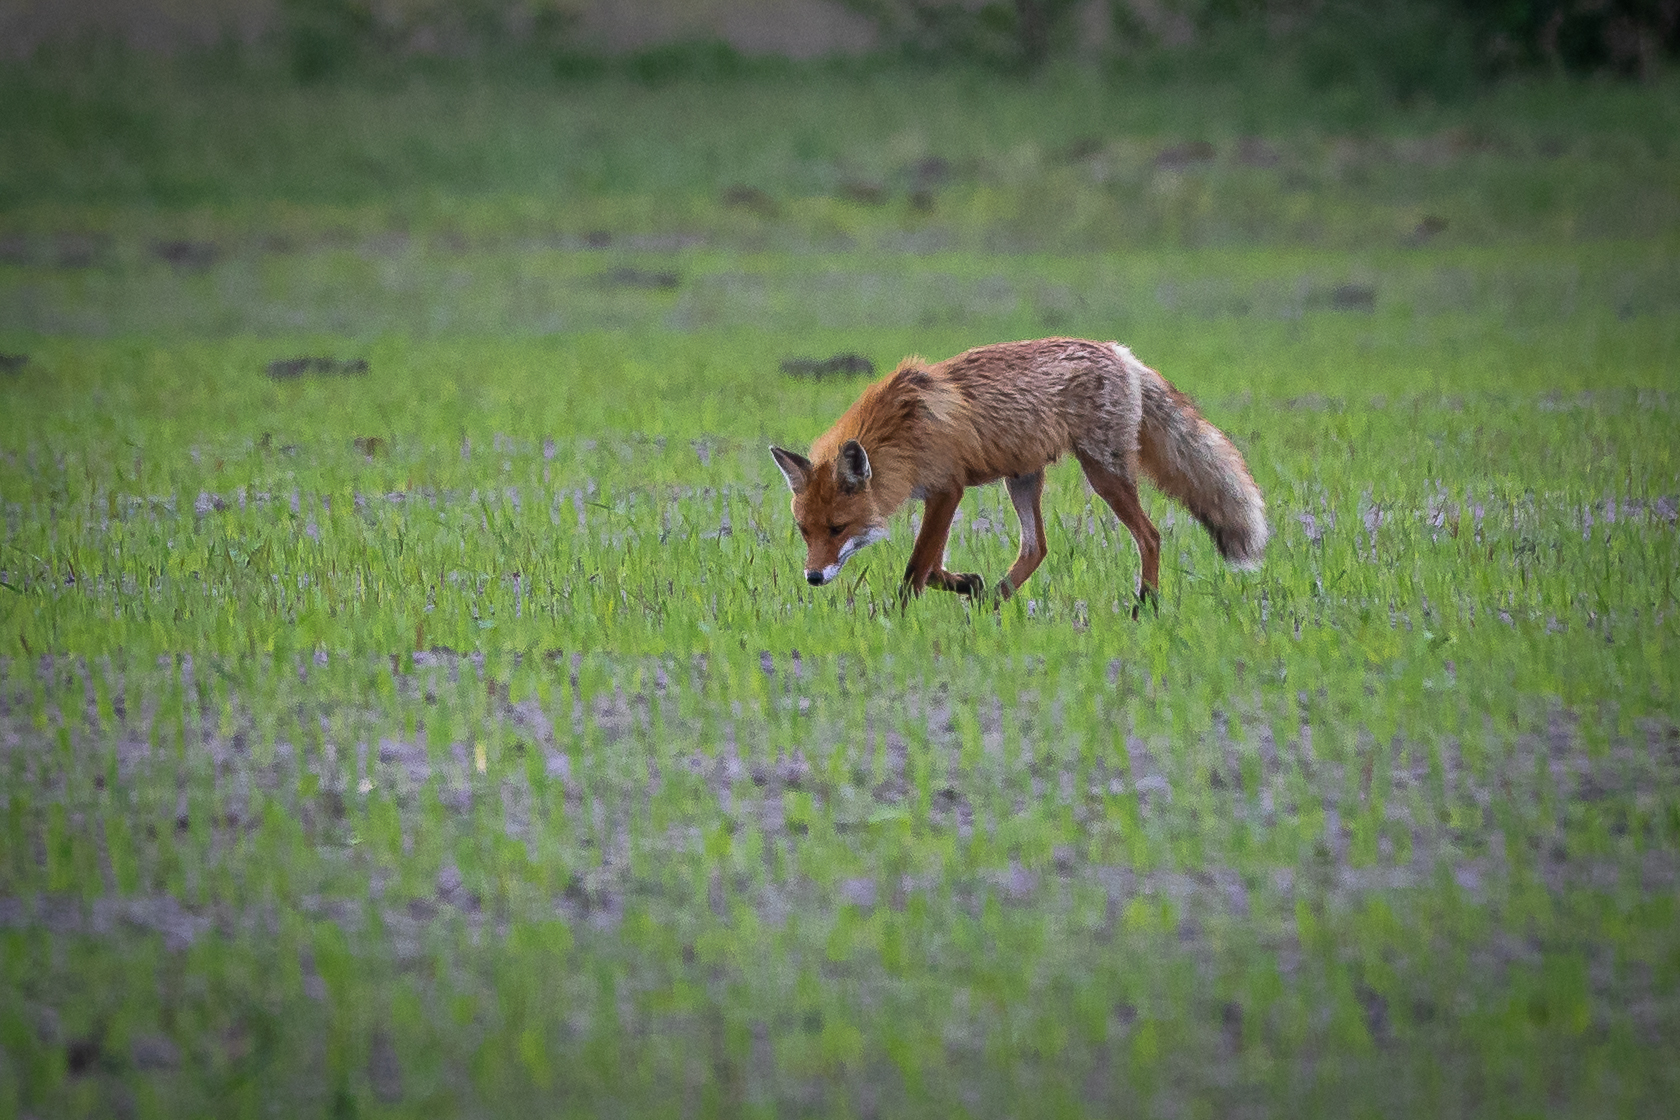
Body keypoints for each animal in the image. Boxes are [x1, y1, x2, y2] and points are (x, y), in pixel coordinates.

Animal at [769, 335, 1263, 614]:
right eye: (805, 530)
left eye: (838, 528)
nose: (813, 578)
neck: (901, 433)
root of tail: (1121, 353)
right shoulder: (940, 495)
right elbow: (933, 567)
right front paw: (968, 584)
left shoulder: (947, 490)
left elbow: (916, 568)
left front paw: (897, 618)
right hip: (1022, 478)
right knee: (1036, 547)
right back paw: (993, 601)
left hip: (1102, 471)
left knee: (1151, 535)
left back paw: (1147, 605)